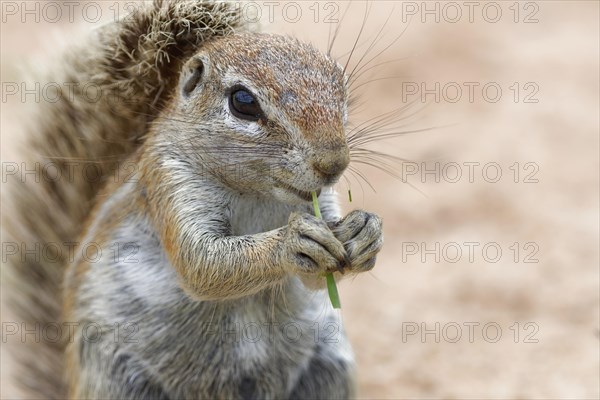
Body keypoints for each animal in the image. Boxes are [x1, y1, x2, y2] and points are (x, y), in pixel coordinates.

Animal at [2, 1, 382, 398]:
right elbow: (200, 263)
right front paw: (293, 242)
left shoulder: (319, 201)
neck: (257, 194)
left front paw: (365, 233)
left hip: (329, 367)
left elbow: (316, 279)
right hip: (118, 379)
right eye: (243, 102)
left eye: (342, 86)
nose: (334, 164)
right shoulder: (169, 181)